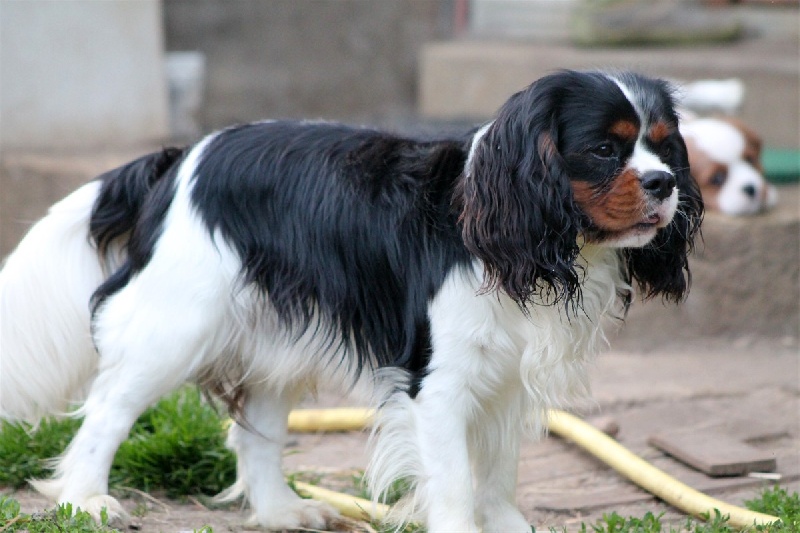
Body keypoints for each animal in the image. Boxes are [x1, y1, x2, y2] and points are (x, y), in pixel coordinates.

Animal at [0, 71, 700, 532]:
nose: (665, 183)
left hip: (275, 338)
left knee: (255, 434)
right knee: (107, 412)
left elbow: (498, 473)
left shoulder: (503, 382)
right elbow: (454, 482)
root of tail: (179, 158)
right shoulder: (439, 384)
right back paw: (86, 500)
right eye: (605, 149)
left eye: (666, 146)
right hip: (174, 327)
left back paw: (284, 512)